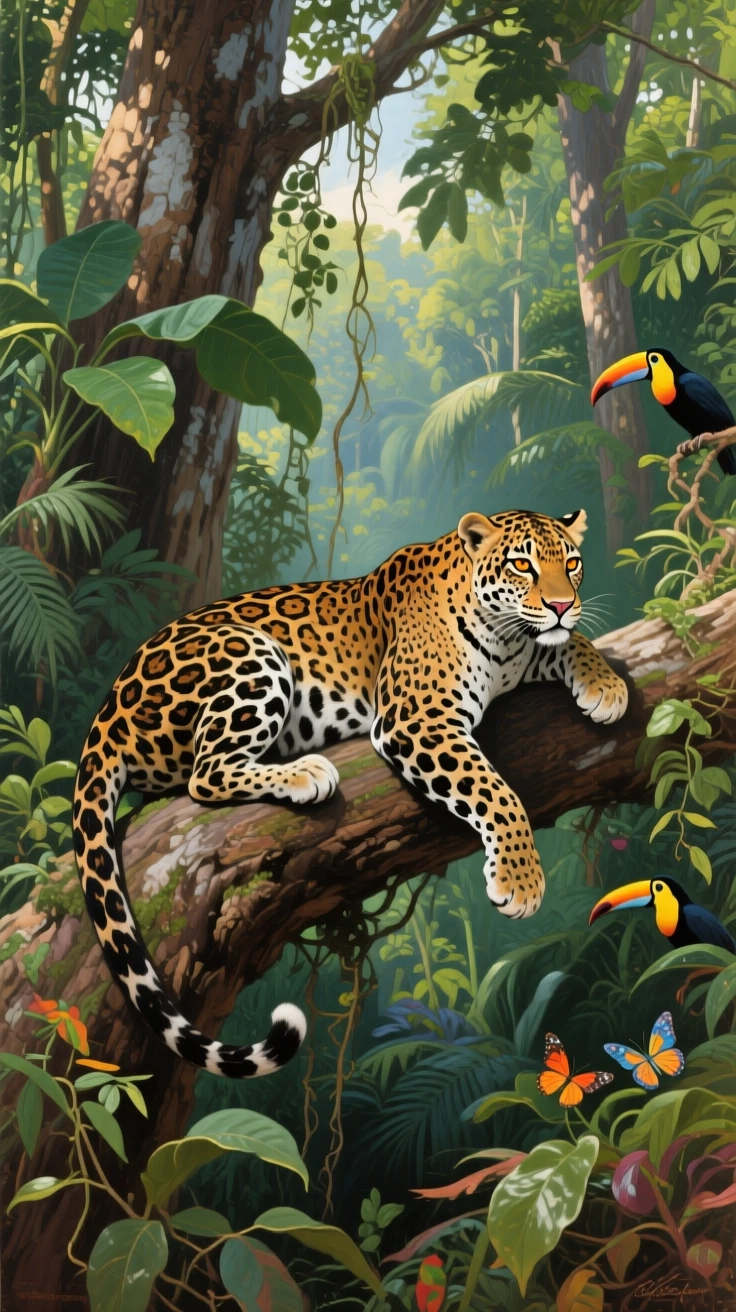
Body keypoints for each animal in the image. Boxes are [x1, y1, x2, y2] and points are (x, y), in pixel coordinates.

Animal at [73, 507, 628, 1079]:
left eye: (572, 564)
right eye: (521, 565)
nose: (562, 605)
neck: (506, 640)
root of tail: (108, 709)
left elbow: (567, 643)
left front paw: (605, 684)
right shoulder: (417, 719)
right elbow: (494, 790)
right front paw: (519, 879)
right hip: (250, 652)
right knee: (204, 774)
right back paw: (304, 774)